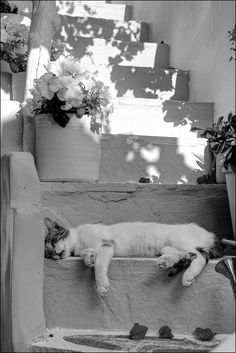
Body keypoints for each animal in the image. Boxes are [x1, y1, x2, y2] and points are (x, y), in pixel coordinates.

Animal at [43, 217, 219, 294]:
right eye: (48, 254)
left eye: (53, 240)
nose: (55, 254)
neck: (78, 241)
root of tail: (210, 234)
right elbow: (87, 255)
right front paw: (88, 258)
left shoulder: (105, 245)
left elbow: (99, 266)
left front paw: (101, 285)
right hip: (166, 247)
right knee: (185, 255)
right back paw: (166, 262)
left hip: (180, 240)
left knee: (199, 256)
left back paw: (188, 276)